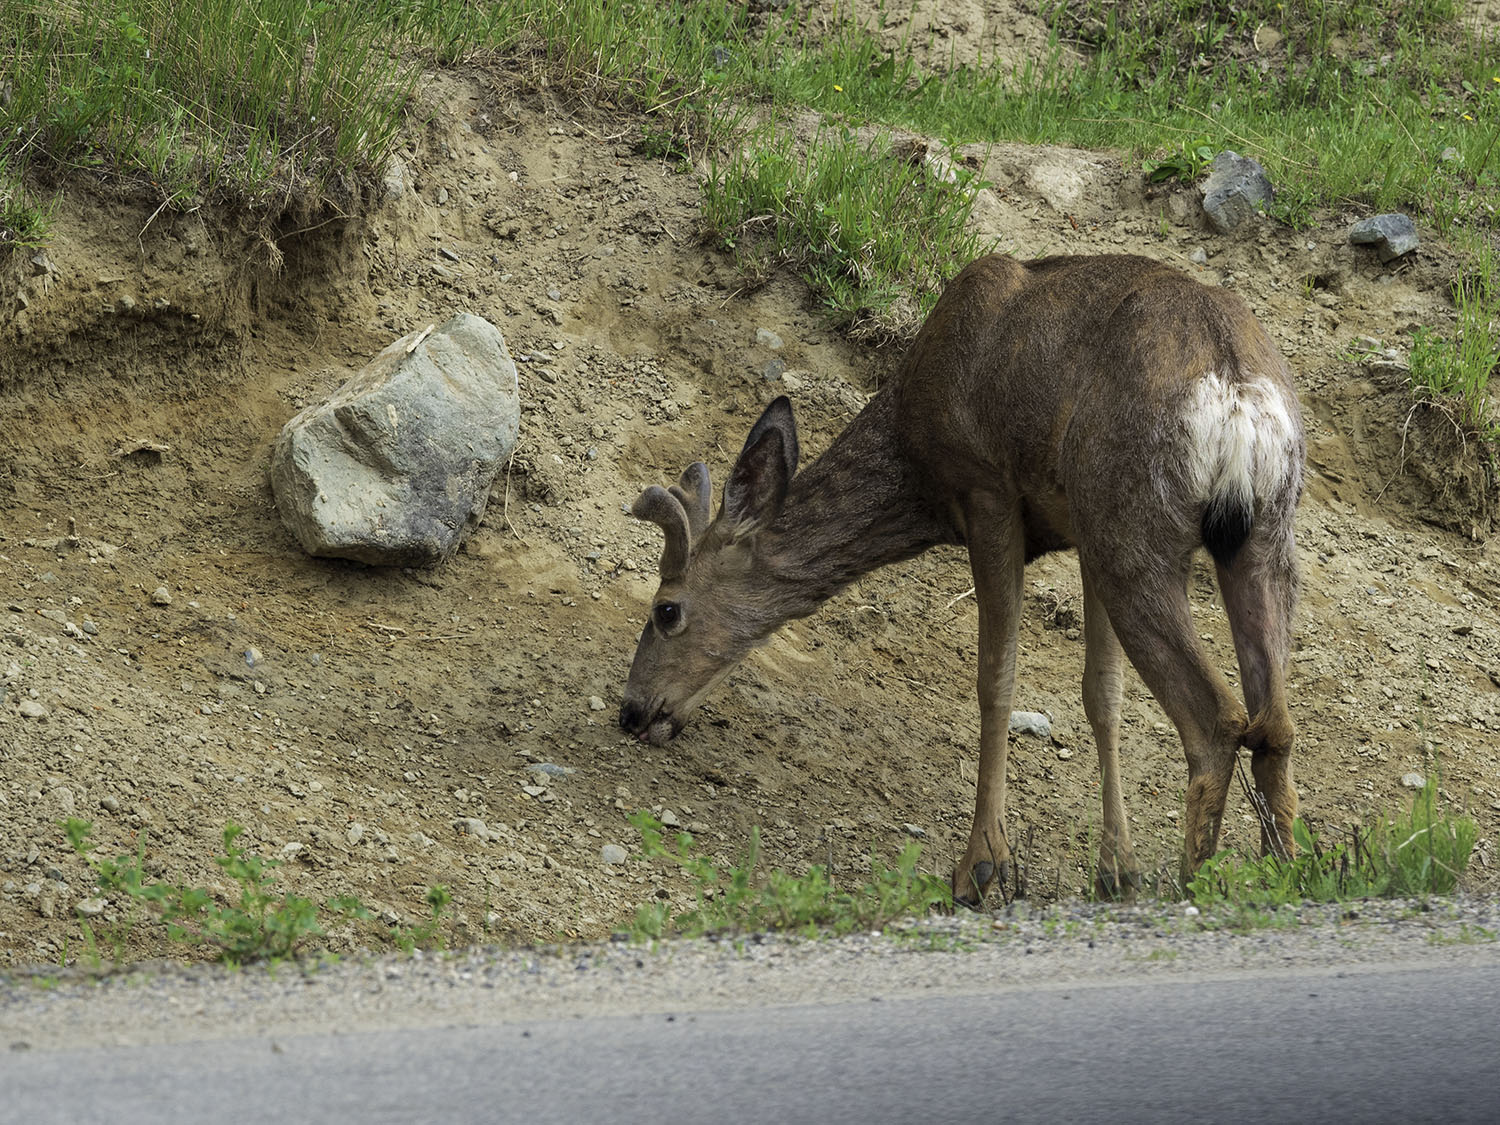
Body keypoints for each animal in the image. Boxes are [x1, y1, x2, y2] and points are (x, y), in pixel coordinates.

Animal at [615, 255, 1308, 906]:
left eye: (666, 609)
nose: (631, 711)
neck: (913, 456)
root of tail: (1239, 395)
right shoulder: (1079, 530)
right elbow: (1102, 694)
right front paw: (1116, 870)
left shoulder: (988, 491)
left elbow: (995, 679)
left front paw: (979, 867)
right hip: (1254, 533)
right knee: (1274, 721)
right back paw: (1284, 878)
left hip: (1134, 525)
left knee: (1219, 720)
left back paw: (1196, 885)